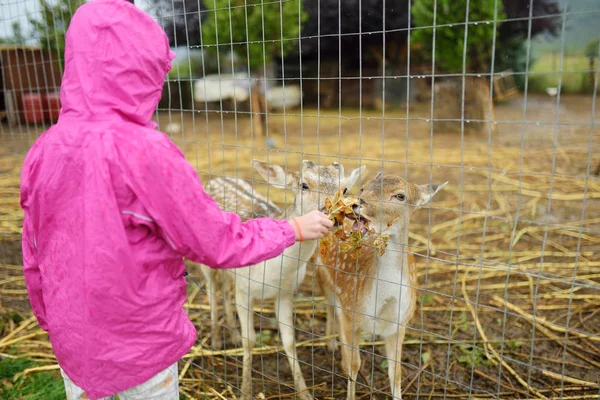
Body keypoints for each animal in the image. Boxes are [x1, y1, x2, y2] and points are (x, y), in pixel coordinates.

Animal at [316, 173, 448, 400]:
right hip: (322, 275)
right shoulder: (352, 313)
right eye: (363, 187)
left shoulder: (400, 323)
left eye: (400, 195)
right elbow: (354, 365)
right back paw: (332, 345)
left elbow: (396, 372)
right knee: (331, 307)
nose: (355, 203)